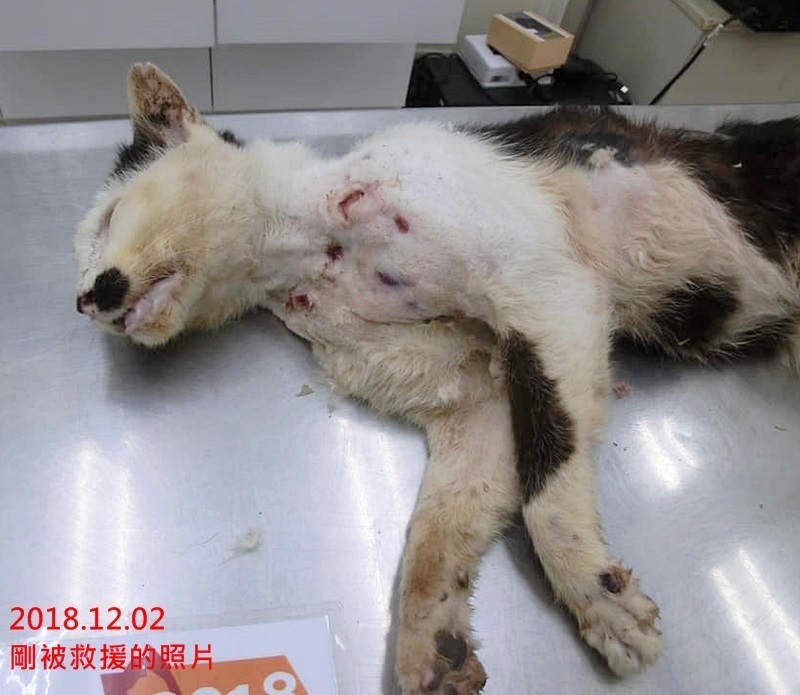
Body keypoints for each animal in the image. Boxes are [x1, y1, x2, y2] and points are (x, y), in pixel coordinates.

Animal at [74, 63, 800, 694]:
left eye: (109, 217)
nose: (84, 299)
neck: (308, 241)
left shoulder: (547, 291)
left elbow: (547, 475)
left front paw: (594, 591)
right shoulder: (477, 395)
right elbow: (435, 533)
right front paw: (433, 639)